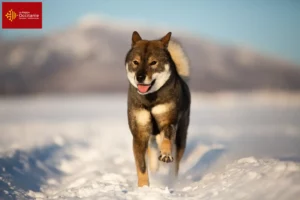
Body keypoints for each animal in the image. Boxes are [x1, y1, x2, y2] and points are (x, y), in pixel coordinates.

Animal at [125, 31, 191, 188]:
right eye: (135, 62)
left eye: (153, 62)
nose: (140, 77)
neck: (150, 100)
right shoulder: (140, 133)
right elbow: (142, 166)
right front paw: (143, 188)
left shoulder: (168, 121)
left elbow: (167, 139)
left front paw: (166, 154)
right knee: (152, 150)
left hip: (181, 135)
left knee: (175, 161)